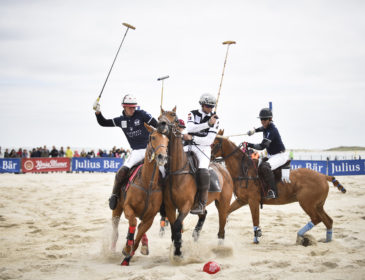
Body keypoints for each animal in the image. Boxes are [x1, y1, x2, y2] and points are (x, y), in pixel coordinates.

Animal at [111, 123, 169, 266]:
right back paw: (112, 251)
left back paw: (144, 245)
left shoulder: (150, 217)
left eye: (167, 141)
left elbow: (137, 238)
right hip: (117, 208)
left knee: (139, 228)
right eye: (153, 137)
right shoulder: (128, 207)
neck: (148, 184)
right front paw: (126, 248)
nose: (162, 157)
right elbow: (132, 222)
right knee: (115, 229)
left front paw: (127, 258)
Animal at [157, 107, 232, 258]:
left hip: (223, 203)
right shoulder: (169, 207)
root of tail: (224, 169)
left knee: (222, 225)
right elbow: (174, 227)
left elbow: (177, 225)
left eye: (173, 115)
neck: (177, 172)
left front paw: (178, 252)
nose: (161, 124)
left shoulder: (185, 206)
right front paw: (177, 248)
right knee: (203, 214)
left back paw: (220, 247)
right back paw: (196, 233)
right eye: (159, 116)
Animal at [209, 130, 346, 245]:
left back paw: (300, 236)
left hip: (306, 203)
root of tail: (323, 176)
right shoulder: (242, 200)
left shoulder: (253, 201)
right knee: (328, 220)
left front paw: (256, 238)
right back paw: (327, 240)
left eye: (214, 144)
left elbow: (255, 220)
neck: (244, 170)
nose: (208, 157)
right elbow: (226, 212)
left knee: (317, 219)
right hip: (318, 205)